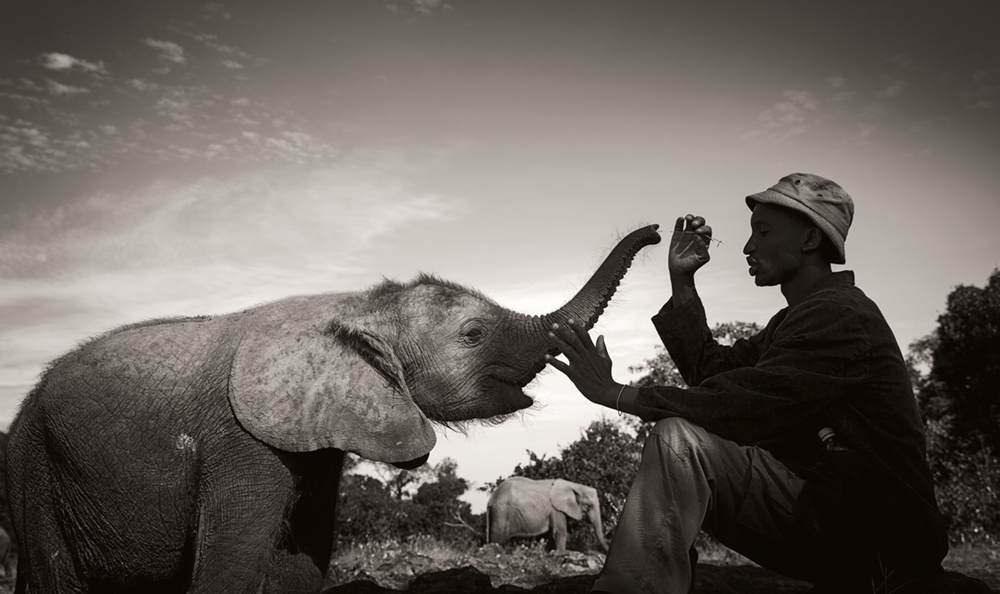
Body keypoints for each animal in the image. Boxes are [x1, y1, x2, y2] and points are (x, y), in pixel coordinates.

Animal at [9, 223, 664, 592]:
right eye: (473, 335)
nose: (662, 231)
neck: (356, 305)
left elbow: (304, 562)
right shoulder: (241, 439)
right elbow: (229, 568)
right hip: (32, 465)